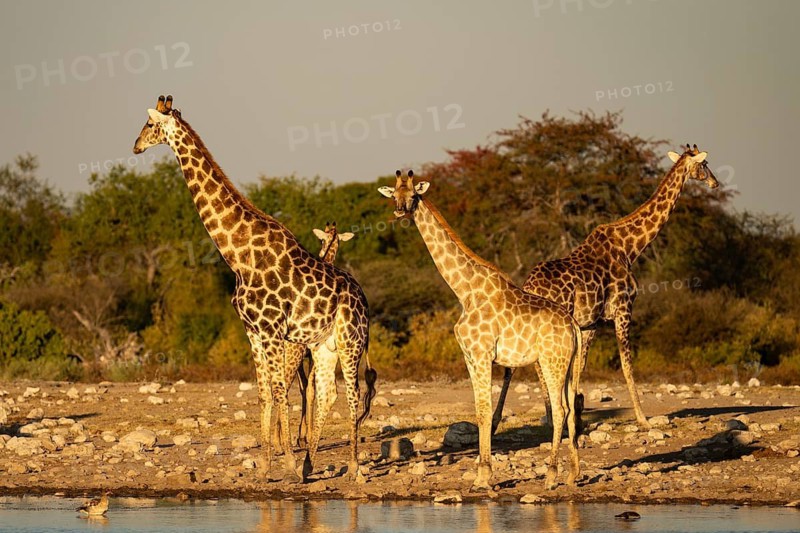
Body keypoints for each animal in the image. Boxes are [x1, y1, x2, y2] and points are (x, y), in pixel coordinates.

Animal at [132, 95, 375, 482]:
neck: (238, 256)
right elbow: (263, 395)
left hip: (350, 340)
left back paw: (354, 468)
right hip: (323, 345)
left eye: (150, 125)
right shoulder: (253, 332)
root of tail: (365, 299)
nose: (136, 146)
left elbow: (279, 392)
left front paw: (286, 463)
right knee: (327, 393)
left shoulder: (274, 330)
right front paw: (265, 466)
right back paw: (310, 464)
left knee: (351, 394)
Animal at [379, 170, 582, 490]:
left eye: (413, 194)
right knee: (572, 407)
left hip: (552, 362)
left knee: (560, 409)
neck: (465, 291)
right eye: (394, 194)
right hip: (570, 363)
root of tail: (573, 324)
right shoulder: (469, 356)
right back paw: (573, 474)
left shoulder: (482, 353)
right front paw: (481, 473)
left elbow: (486, 410)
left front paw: (485, 475)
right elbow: (478, 409)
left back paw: (551, 476)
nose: (400, 210)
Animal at [492, 144, 719, 431]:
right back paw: (547, 415)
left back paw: (509, 419)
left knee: (515, 366)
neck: (629, 248)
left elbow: (579, 367)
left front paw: (577, 414)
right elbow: (626, 365)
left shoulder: (590, 323)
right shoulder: (623, 310)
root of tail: (530, 285)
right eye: (705, 164)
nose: (715, 183)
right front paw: (643, 418)